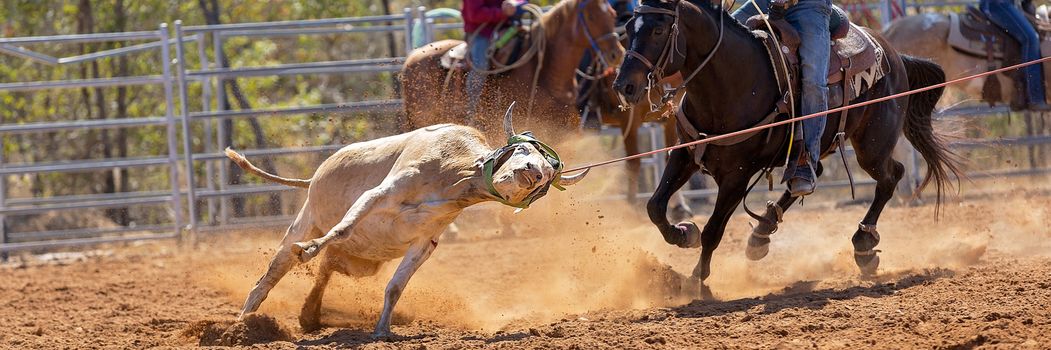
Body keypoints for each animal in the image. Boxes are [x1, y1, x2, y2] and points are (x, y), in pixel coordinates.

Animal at [227, 104, 588, 338]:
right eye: (525, 151)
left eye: (549, 175)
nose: (533, 172)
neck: (453, 175)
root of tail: (313, 177)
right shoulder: (377, 194)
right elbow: (342, 228)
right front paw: (310, 249)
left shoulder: (424, 243)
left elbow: (396, 286)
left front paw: (382, 330)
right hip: (306, 221)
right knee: (274, 272)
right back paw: (244, 322)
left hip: (363, 260)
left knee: (327, 269)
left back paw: (309, 315)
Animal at [613, 0, 962, 290]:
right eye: (628, 30)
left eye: (658, 30)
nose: (623, 86)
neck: (731, 84)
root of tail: (894, 54)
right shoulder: (684, 154)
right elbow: (654, 207)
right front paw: (684, 234)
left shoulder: (737, 176)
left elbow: (713, 231)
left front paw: (696, 282)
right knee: (809, 173)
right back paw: (762, 232)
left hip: (872, 146)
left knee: (891, 176)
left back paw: (863, 246)